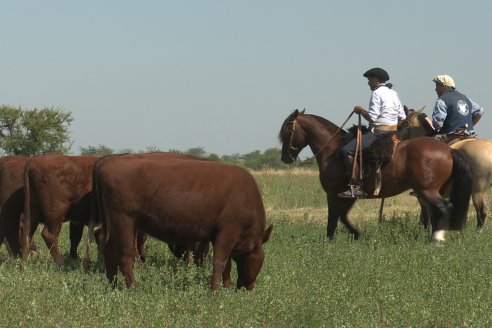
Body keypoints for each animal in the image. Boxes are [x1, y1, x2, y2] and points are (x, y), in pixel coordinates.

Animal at [95, 157, 272, 292]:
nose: (249, 287)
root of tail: (106, 164)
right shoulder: (228, 231)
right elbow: (220, 262)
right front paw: (214, 290)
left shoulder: (217, 236)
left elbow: (226, 264)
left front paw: (226, 287)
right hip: (125, 222)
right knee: (124, 256)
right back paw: (134, 288)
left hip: (114, 225)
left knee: (110, 252)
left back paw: (113, 287)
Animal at [276, 109, 472, 242]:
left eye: (288, 131)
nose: (285, 157)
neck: (333, 151)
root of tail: (448, 150)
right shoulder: (348, 195)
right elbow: (343, 216)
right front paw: (357, 235)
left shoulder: (332, 194)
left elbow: (332, 219)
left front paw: (330, 242)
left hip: (427, 191)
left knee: (442, 208)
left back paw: (436, 240)